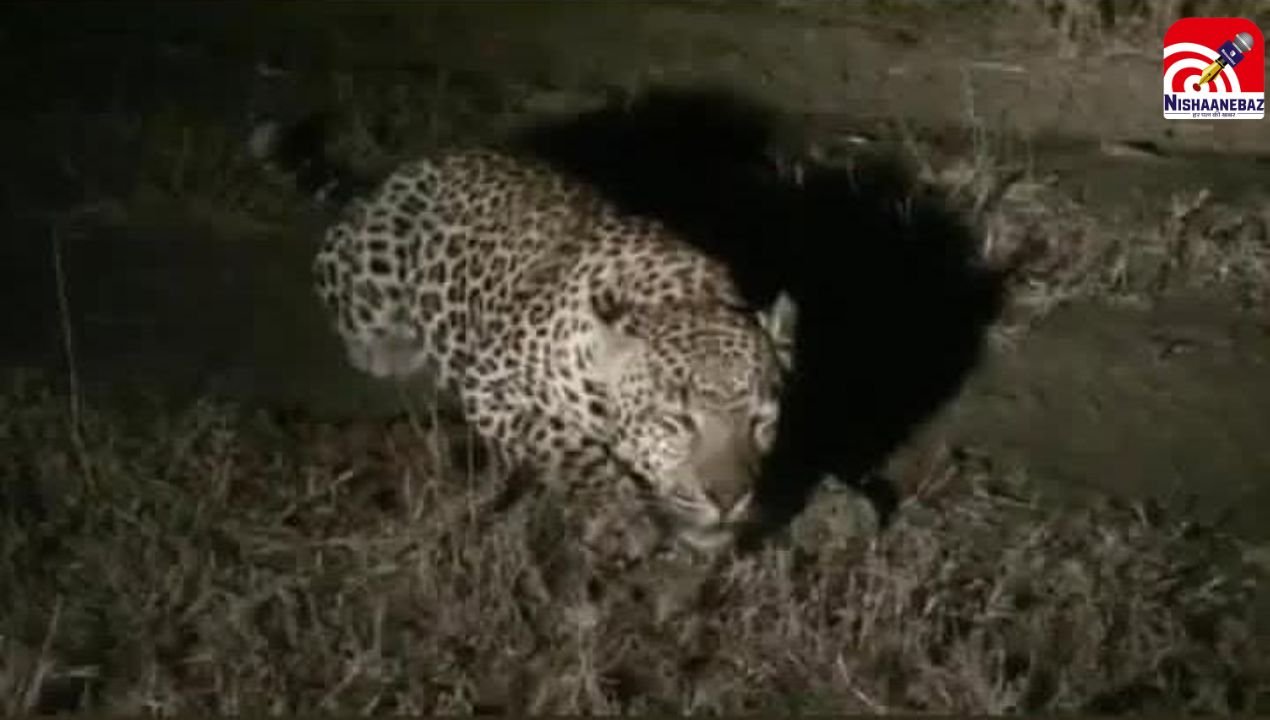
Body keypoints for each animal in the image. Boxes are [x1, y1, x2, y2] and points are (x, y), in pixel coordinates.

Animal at [311, 148, 796, 552]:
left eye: (761, 422)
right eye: (676, 423)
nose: (729, 499)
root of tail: (430, 160)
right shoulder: (489, 387)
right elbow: (561, 439)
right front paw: (619, 516)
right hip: (371, 283)